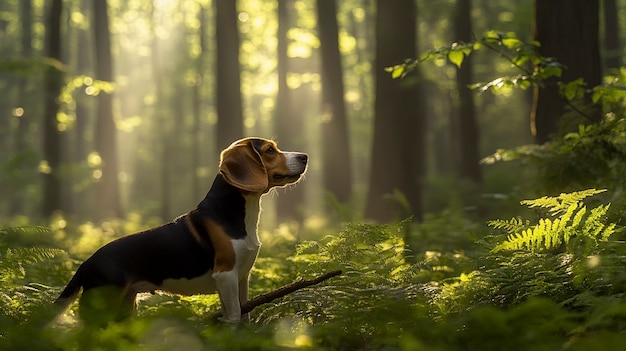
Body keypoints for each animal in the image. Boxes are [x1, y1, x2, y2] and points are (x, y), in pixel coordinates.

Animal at [54, 136, 308, 324]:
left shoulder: (240, 278)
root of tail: (86, 263)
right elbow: (235, 316)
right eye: (269, 150)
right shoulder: (225, 274)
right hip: (102, 305)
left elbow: (243, 314)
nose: (304, 156)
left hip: (125, 306)